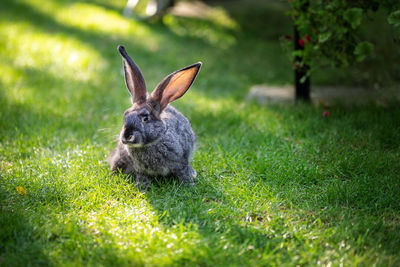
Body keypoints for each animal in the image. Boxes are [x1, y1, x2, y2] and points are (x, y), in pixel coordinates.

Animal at [108, 45, 200, 188]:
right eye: (125, 115)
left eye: (145, 118)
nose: (126, 136)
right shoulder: (141, 169)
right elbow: (142, 177)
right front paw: (142, 187)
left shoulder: (181, 162)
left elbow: (183, 172)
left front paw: (188, 184)